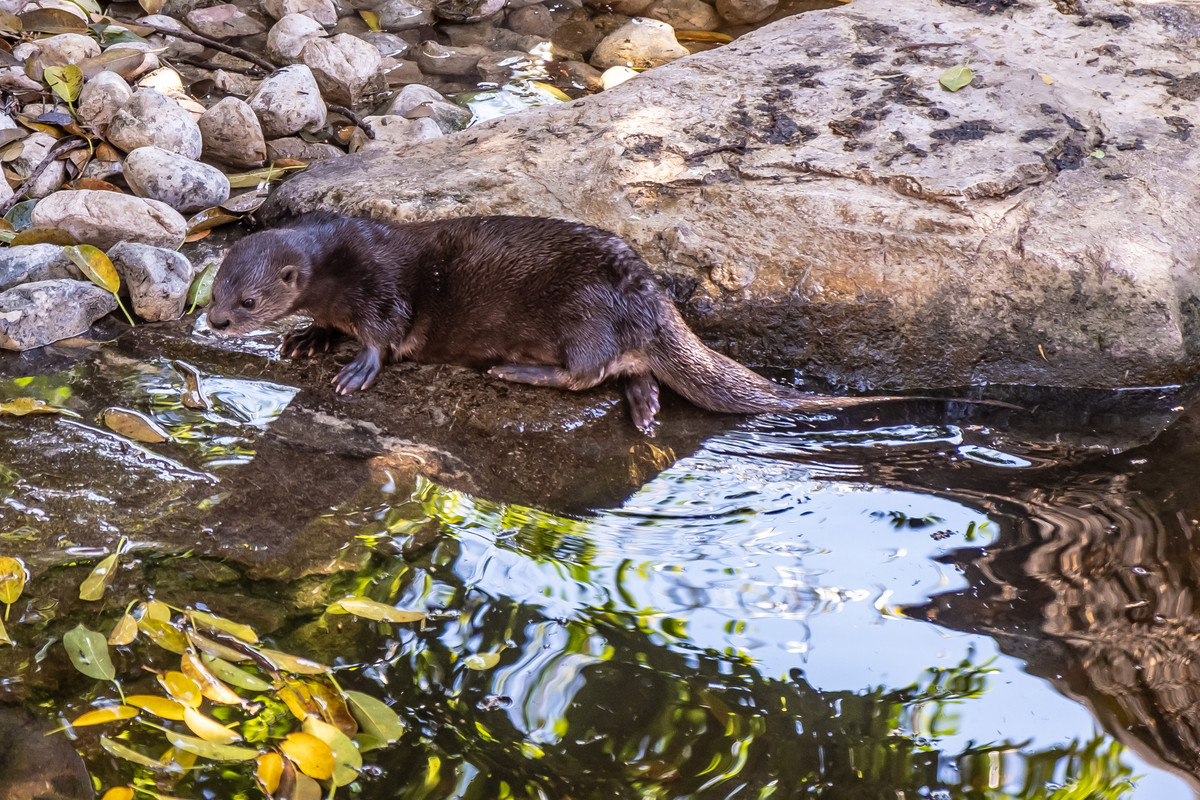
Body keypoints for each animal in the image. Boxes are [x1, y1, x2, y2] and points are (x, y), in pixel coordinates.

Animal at [206, 209, 940, 429]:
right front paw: (307, 338)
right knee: (630, 371)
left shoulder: (383, 286)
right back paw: (645, 407)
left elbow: (384, 334)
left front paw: (356, 368)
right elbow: (332, 324)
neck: (339, 265)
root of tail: (653, 300)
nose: (214, 324)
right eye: (213, 289)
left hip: (584, 315)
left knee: (586, 374)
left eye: (248, 302)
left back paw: (517, 371)